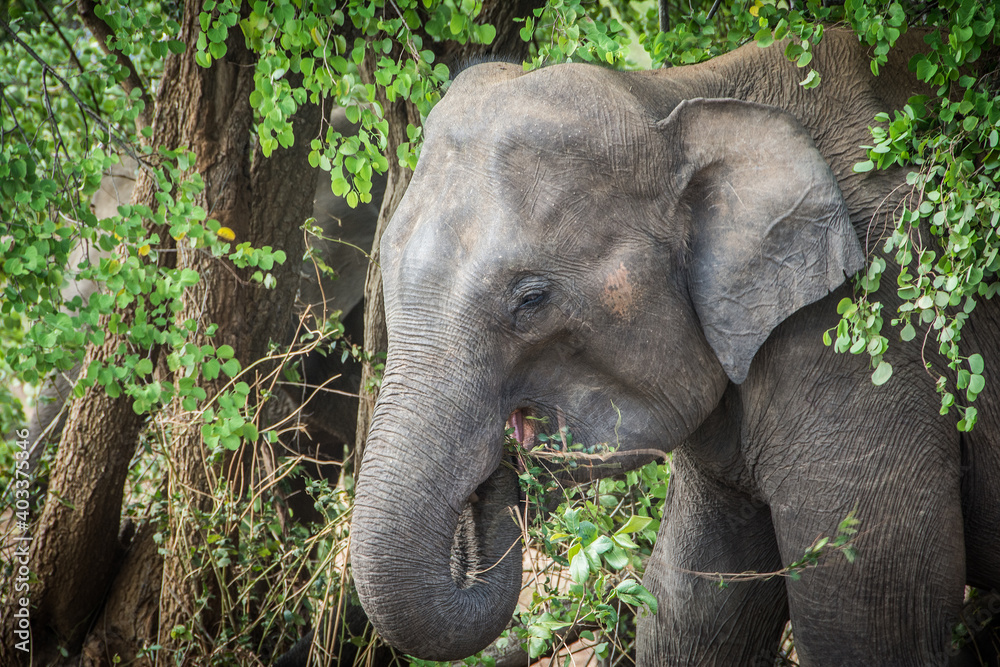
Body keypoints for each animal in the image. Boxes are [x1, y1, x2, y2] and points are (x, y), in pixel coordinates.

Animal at [349, 28, 1000, 666]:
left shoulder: (872, 326)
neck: (676, 97)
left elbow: (870, 630)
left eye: (530, 299)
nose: (502, 461)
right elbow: (687, 612)